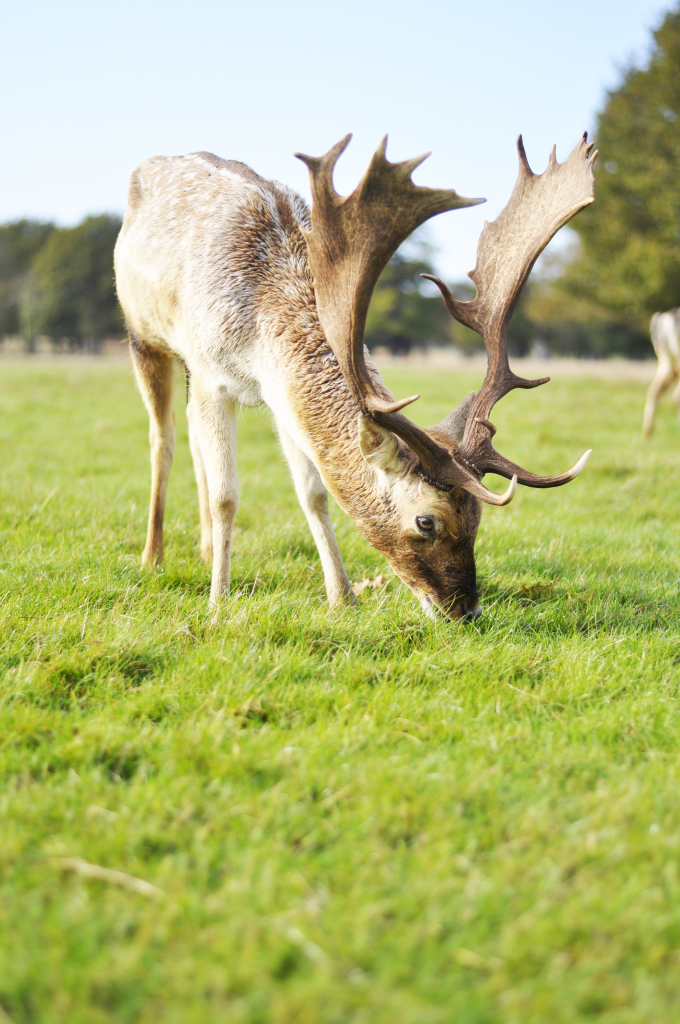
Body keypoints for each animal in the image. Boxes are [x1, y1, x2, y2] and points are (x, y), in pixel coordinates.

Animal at [115, 132, 593, 618]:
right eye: (426, 521)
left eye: (477, 516)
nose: (467, 610)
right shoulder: (212, 373)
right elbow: (226, 495)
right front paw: (218, 602)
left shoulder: (277, 397)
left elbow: (313, 492)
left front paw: (342, 597)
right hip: (143, 336)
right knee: (163, 437)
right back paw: (153, 556)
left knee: (192, 435)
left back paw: (206, 549)